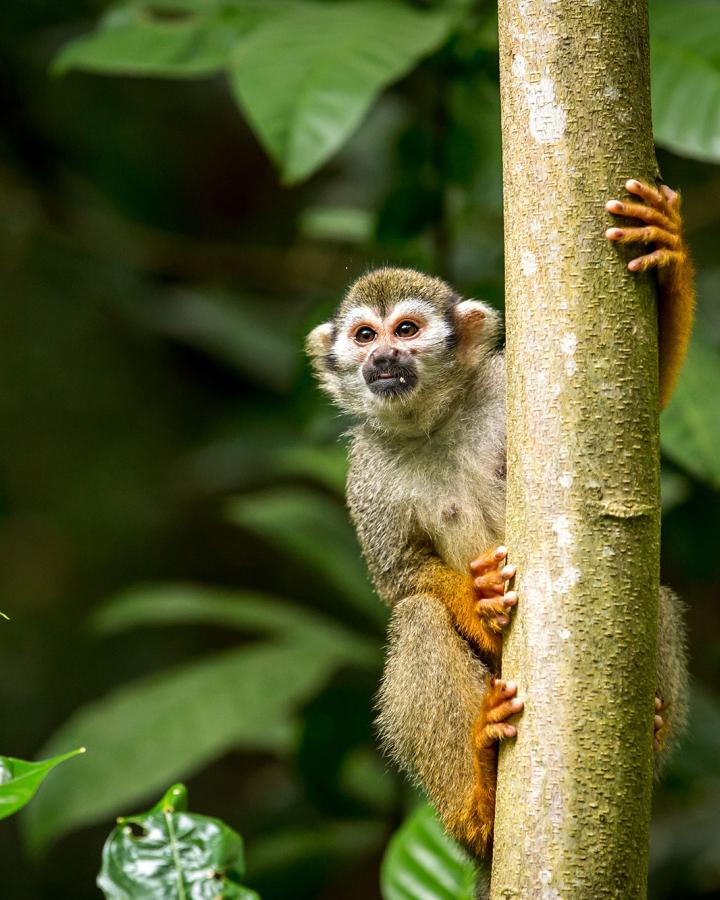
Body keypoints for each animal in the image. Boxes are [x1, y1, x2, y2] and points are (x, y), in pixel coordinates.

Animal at [304, 181, 692, 856]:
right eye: (363, 336)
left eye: (406, 330)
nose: (382, 358)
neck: (430, 422)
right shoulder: (365, 471)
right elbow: (399, 579)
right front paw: (476, 600)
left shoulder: (501, 385)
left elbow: (652, 408)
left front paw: (667, 252)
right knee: (416, 618)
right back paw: (476, 799)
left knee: (655, 595)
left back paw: (650, 732)